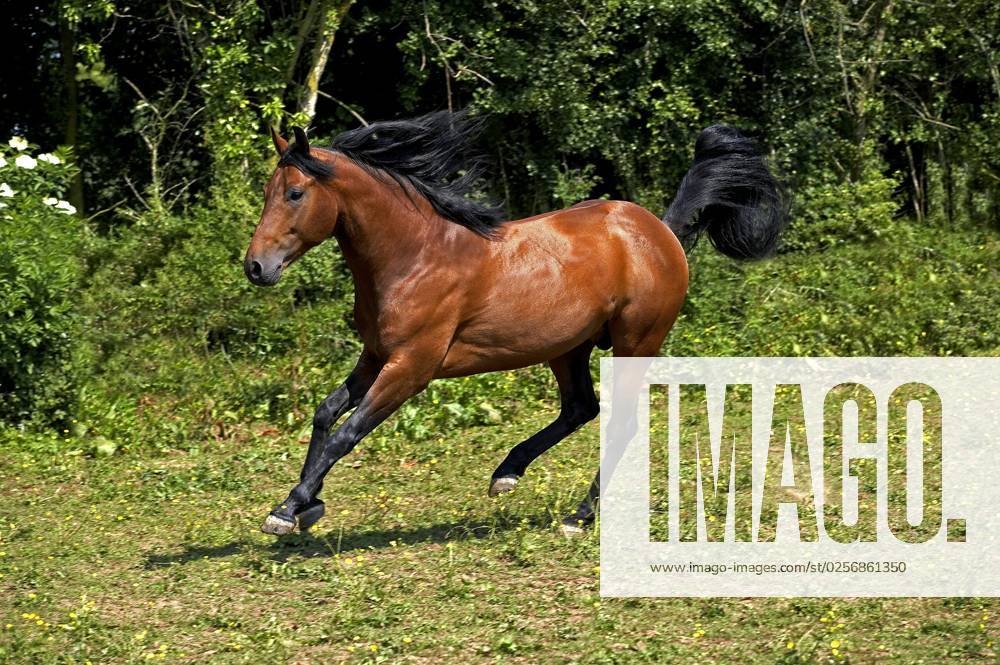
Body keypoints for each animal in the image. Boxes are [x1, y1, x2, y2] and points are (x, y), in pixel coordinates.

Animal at [244, 111, 785, 536]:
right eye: (268, 191)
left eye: (295, 193)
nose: (255, 267)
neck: (414, 256)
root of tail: (661, 232)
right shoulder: (376, 355)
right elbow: (325, 414)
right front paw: (301, 503)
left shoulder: (411, 367)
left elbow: (348, 431)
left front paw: (289, 509)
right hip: (568, 348)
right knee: (581, 409)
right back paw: (507, 473)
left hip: (637, 342)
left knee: (619, 422)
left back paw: (580, 516)